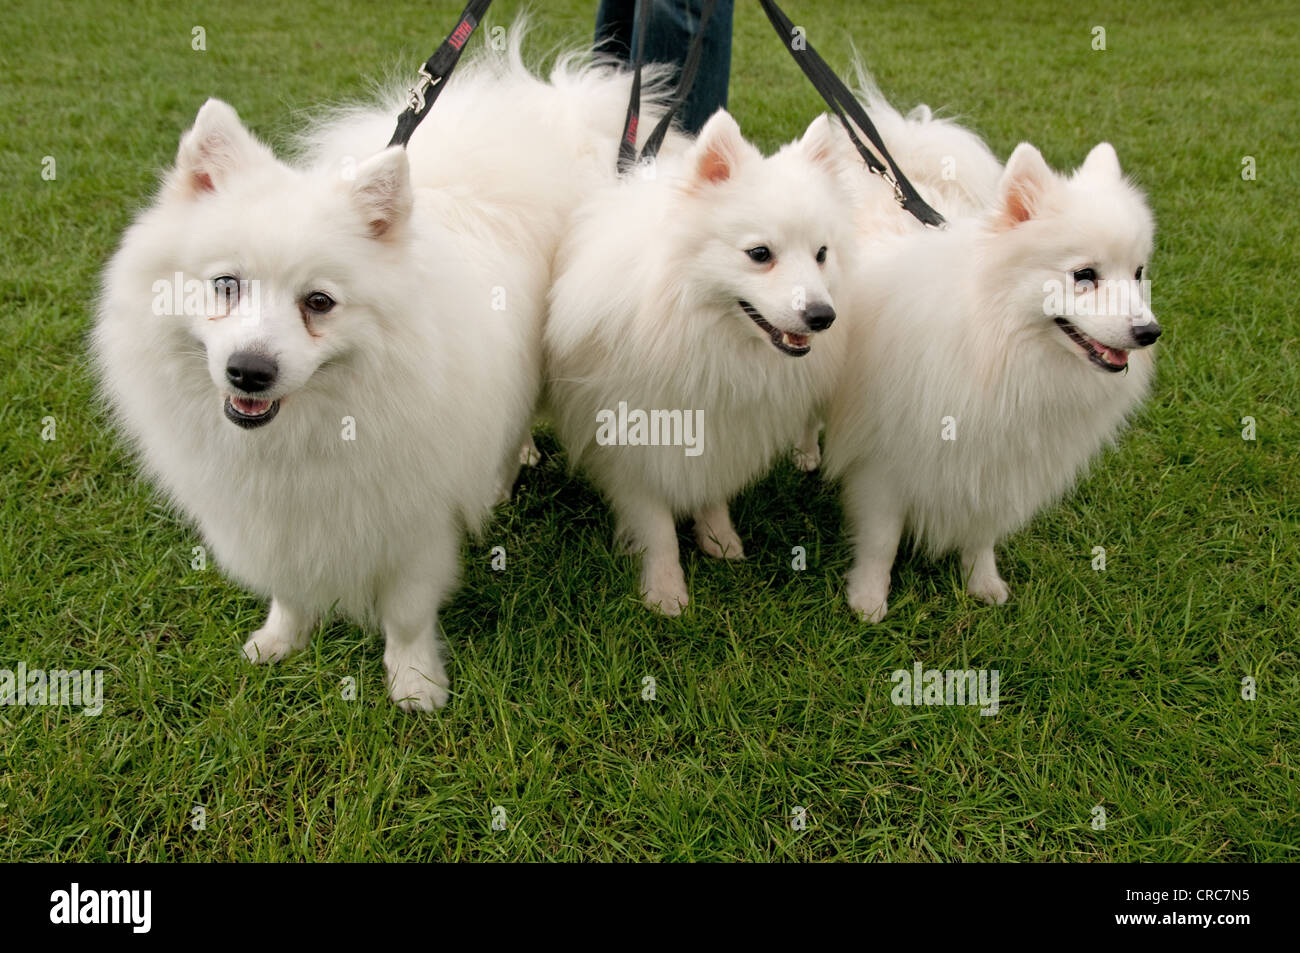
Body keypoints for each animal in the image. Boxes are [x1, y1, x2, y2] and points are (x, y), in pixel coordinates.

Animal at [546, 111, 857, 613]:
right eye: (759, 254)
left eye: (822, 255)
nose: (822, 316)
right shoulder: (631, 437)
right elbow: (655, 523)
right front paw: (665, 589)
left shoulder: (725, 428)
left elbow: (713, 487)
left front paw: (718, 536)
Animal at [821, 131, 1159, 624]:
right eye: (1084, 275)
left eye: (1137, 274)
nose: (1150, 332)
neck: (998, 345)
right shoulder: (885, 462)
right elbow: (882, 541)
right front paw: (868, 599)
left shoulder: (998, 461)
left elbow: (982, 533)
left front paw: (982, 583)